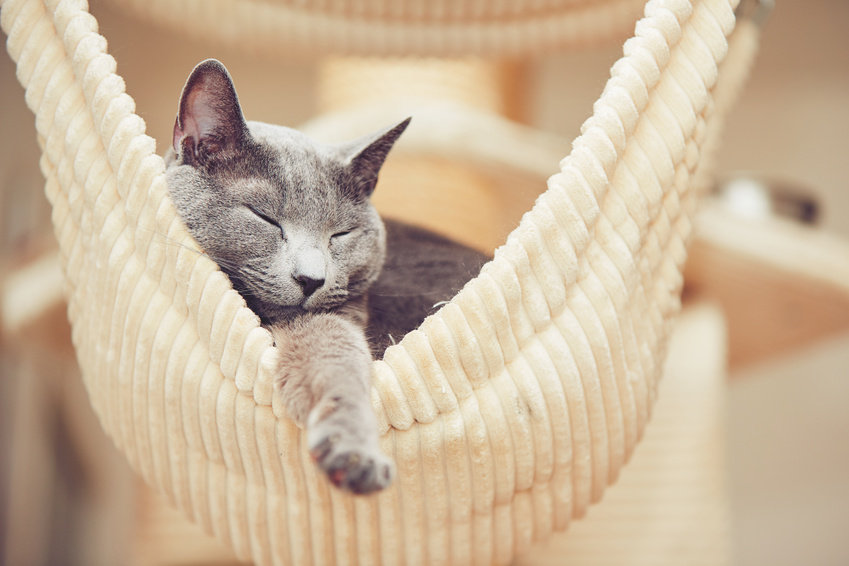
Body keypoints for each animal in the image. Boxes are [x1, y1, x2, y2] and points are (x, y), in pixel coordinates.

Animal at [166, 60, 486, 496]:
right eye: (264, 218)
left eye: (341, 234)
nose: (310, 278)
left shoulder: (335, 317)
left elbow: (336, 364)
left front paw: (353, 454)